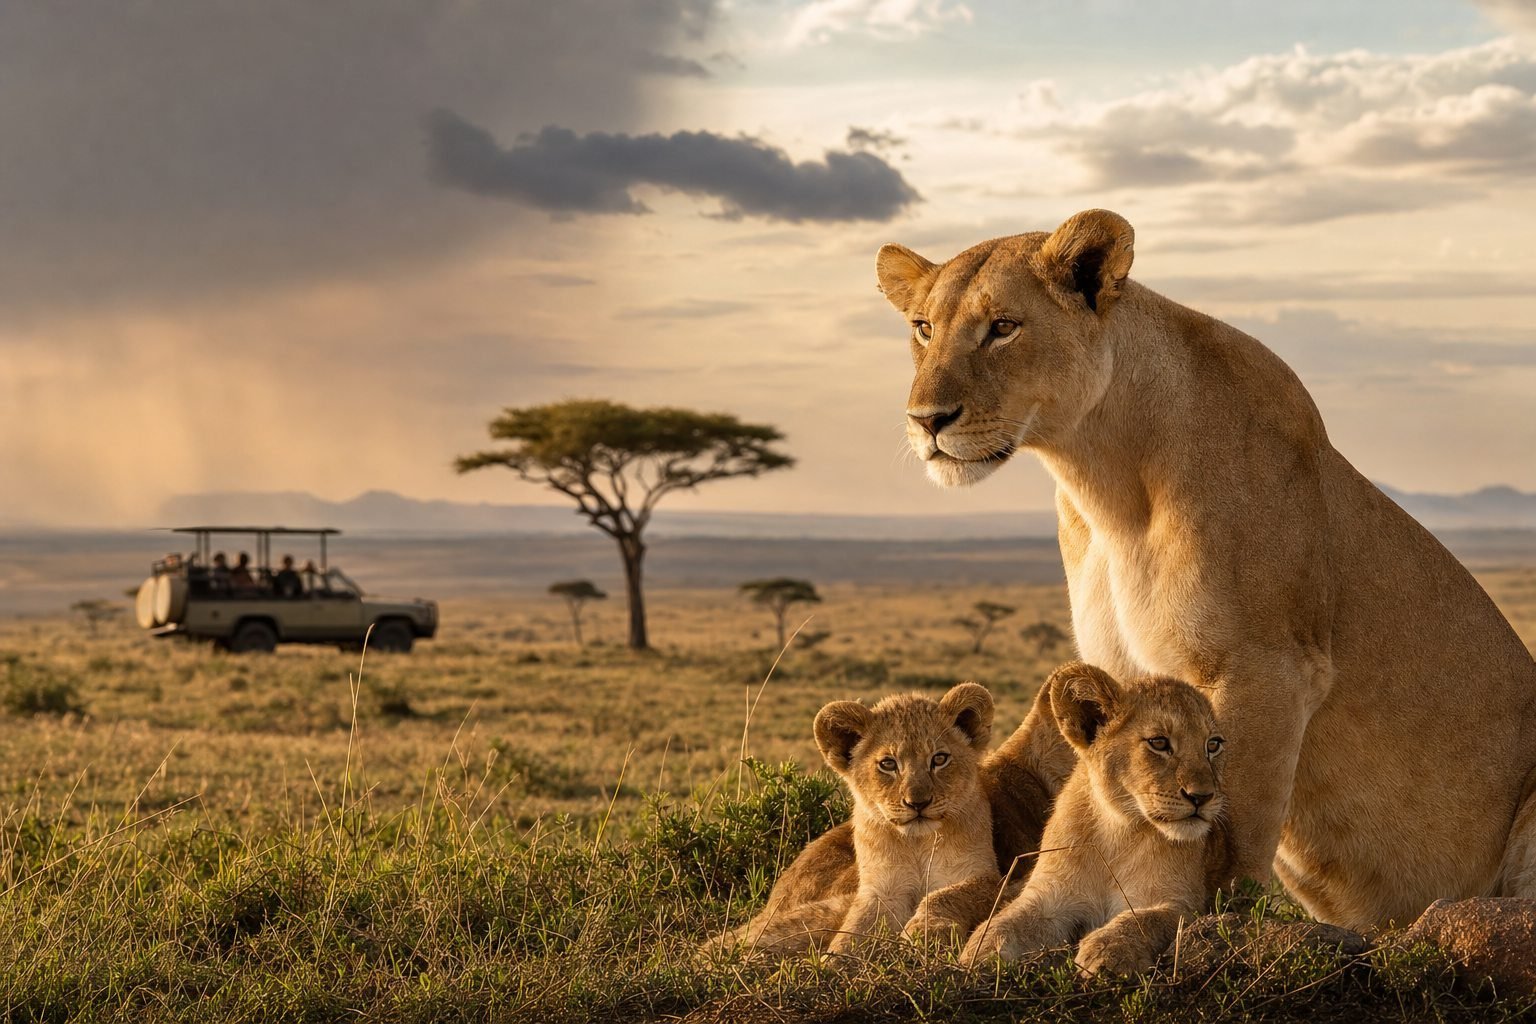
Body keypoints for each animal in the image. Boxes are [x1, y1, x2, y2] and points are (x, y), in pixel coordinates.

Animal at [876, 209, 1536, 931]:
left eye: (1002, 327)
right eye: (924, 328)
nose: (924, 421)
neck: (1106, 481)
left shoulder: (1266, 669)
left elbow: (1236, 815)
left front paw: (1212, 913)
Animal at [959, 663, 1233, 976]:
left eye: (1213, 745)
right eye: (1159, 742)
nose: (1202, 797)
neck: (1118, 832)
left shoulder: (1182, 904)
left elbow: (1143, 920)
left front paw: (1107, 952)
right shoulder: (1048, 895)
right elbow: (1005, 921)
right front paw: (979, 954)